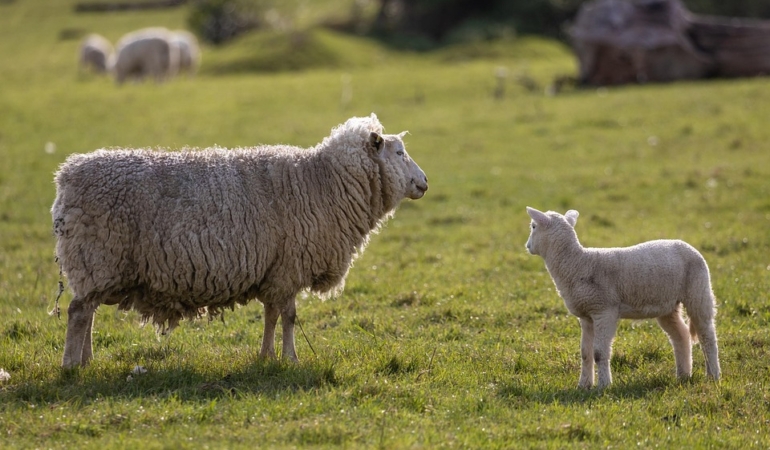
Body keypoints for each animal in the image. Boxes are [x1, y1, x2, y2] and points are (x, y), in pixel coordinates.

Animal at [52, 114, 428, 369]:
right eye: (399, 153)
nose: (425, 182)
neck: (322, 182)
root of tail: (67, 175)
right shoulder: (289, 266)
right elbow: (289, 317)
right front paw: (291, 358)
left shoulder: (275, 270)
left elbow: (271, 315)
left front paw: (266, 356)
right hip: (96, 256)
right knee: (78, 312)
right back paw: (71, 365)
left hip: (97, 265)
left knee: (88, 312)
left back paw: (86, 360)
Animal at [525, 207, 721, 389]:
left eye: (533, 226)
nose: (527, 246)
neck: (577, 264)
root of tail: (688, 246)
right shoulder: (587, 315)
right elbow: (585, 353)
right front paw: (583, 386)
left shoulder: (604, 310)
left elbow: (599, 353)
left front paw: (603, 386)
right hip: (667, 305)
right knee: (681, 335)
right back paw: (683, 375)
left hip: (698, 291)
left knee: (707, 336)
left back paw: (713, 376)